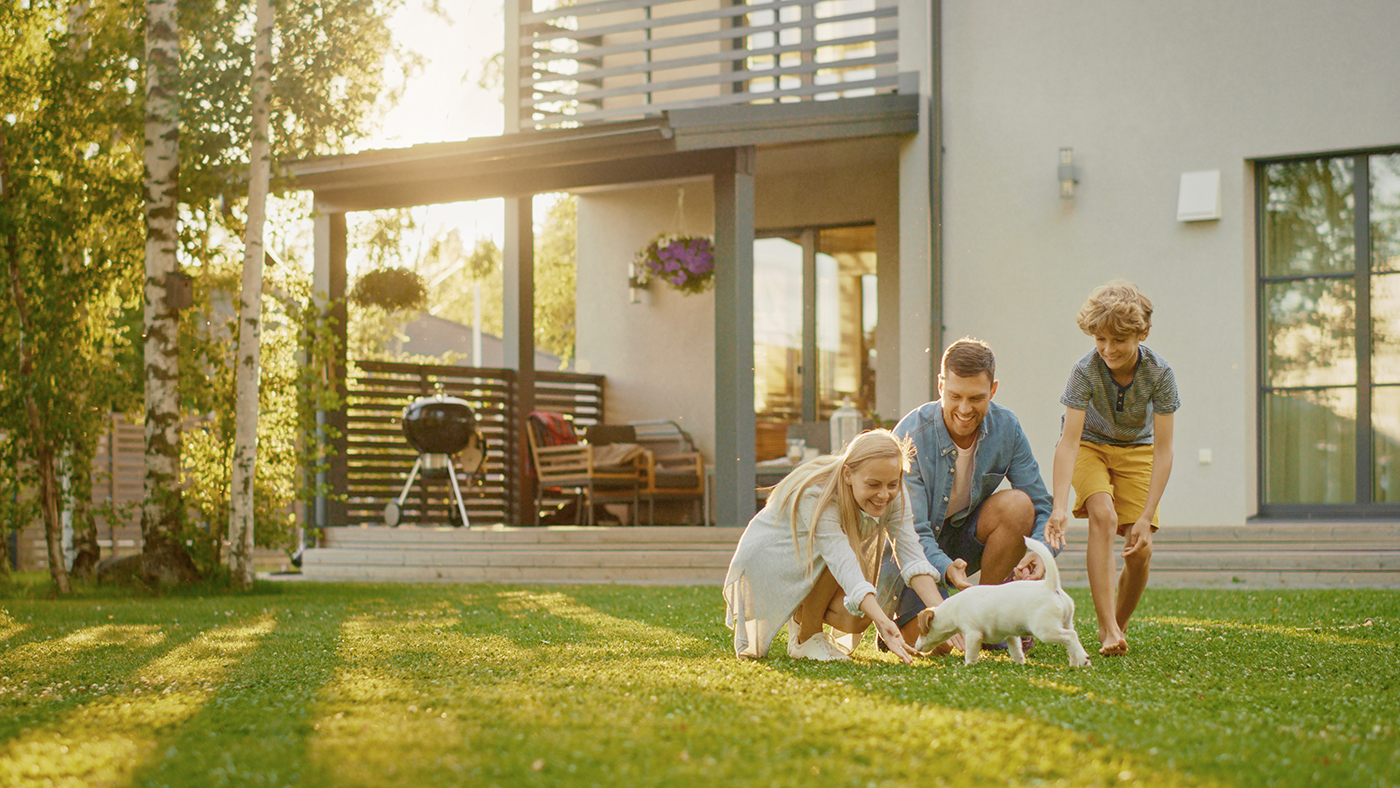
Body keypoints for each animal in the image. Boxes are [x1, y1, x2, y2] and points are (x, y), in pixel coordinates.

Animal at [912, 537, 1097, 666]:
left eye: (921, 630)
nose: (915, 647)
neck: (952, 609)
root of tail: (1051, 586)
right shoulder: (1011, 635)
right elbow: (1016, 651)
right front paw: (1020, 664)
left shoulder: (973, 634)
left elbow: (970, 653)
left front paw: (968, 665)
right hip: (1065, 622)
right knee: (1070, 641)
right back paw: (1074, 663)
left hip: (1045, 629)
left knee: (1070, 636)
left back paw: (1084, 659)